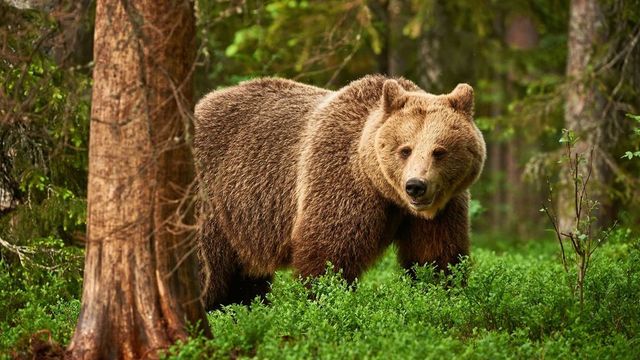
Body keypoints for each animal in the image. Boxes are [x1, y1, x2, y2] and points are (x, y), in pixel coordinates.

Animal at [194, 74, 484, 308]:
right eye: (405, 149)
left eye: (439, 151)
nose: (415, 186)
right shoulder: (339, 181)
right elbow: (329, 255)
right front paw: (324, 300)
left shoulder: (442, 210)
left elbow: (435, 256)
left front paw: (441, 293)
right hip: (212, 198)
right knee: (208, 268)